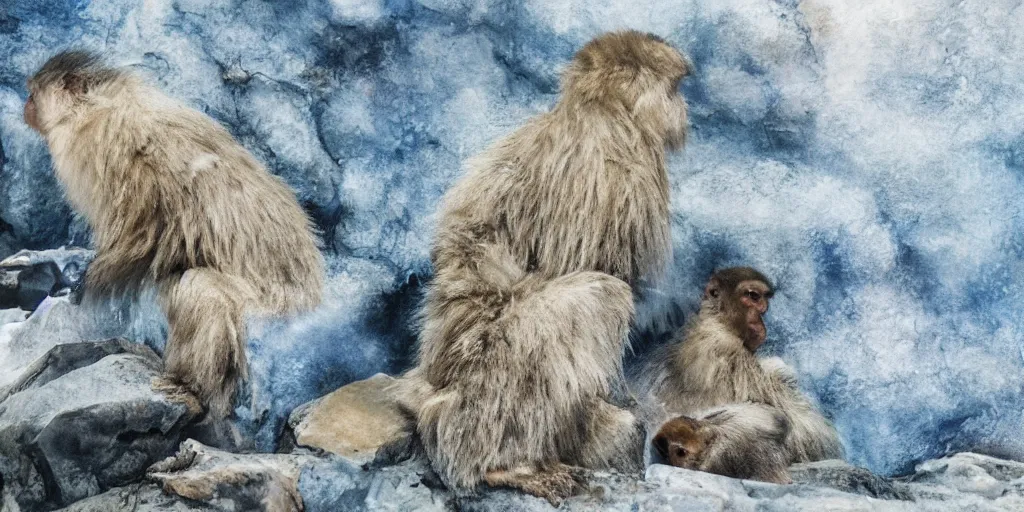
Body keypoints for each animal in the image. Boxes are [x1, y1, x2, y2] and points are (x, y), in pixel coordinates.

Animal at [24, 49, 323, 417]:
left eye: (32, 94)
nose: (25, 107)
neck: (97, 105)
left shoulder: (98, 146)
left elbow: (141, 233)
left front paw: (85, 283)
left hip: (271, 313)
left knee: (201, 291)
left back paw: (191, 387)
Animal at [391, 32, 688, 507]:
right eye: (675, 90)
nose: (685, 113)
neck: (594, 109)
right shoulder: (624, 168)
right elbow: (604, 273)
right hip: (502, 357)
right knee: (602, 296)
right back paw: (492, 463)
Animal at [634, 268, 843, 464]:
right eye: (753, 296)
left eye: (763, 299)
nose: (761, 316)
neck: (716, 320)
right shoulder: (732, 353)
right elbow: (806, 430)